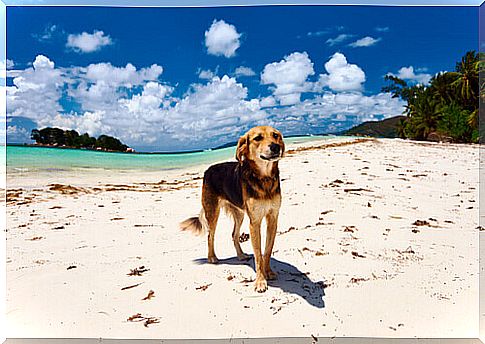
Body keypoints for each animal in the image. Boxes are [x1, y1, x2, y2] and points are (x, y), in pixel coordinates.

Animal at [180, 125, 284, 292]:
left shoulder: (273, 218)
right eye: (258, 138)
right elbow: (258, 255)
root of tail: (209, 169)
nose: (275, 147)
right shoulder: (254, 222)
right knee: (210, 236)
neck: (264, 179)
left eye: (275, 135)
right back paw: (212, 257)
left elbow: (267, 250)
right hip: (212, 212)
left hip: (239, 214)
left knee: (234, 235)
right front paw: (260, 281)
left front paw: (268, 272)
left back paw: (240, 255)